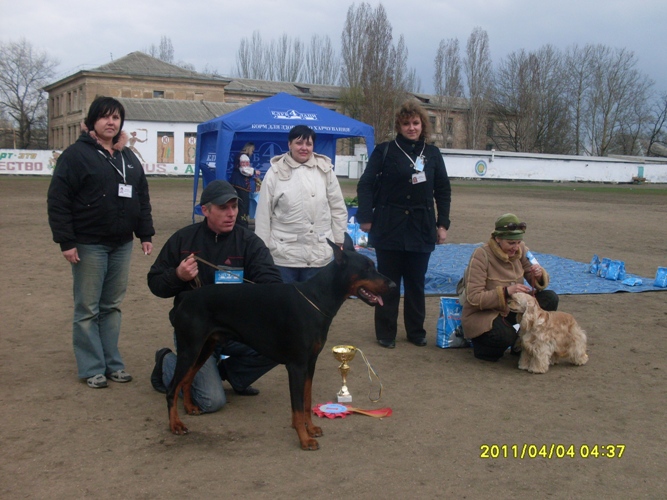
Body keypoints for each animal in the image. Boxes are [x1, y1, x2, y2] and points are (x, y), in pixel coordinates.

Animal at [166, 232, 395, 450]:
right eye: (366, 268)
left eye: (373, 266)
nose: (393, 284)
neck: (316, 299)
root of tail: (186, 296)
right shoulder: (296, 365)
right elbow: (297, 405)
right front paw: (304, 439)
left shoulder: (310, 363)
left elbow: (306, 399)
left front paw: (310, 428)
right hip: (190, 348)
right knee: (172, 387)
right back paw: (175, 424)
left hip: (205, 347)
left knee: (187, 380)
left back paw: (190, 408)